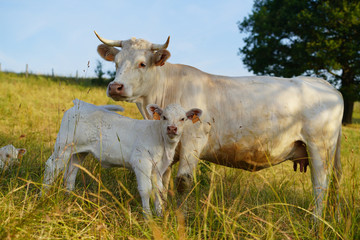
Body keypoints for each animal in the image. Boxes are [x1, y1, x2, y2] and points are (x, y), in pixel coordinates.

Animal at [42, 99, 202, 216]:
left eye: (182, 118)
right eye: (164, 117)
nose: (172, 128)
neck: (163, 143)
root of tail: (80, 103)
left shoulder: (158, 169)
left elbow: (159, 191)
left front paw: (160, 215)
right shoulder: (141, 163)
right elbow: (146, 190)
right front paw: (148, 217)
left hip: (78, 152)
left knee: (70, 173)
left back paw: (69, 199)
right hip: (63, 146)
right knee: (51, 167)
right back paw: (42, 196)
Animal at [95, 32, 344, 218]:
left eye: (142, 63)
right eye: (116, 63)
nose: (115, 87)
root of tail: (324, 84)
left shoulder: (193, 141)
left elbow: (183, 181)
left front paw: (180, 218)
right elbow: (162, 182)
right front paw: (161, 214)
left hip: (320, 147)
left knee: (320, 186)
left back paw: (315, 223)